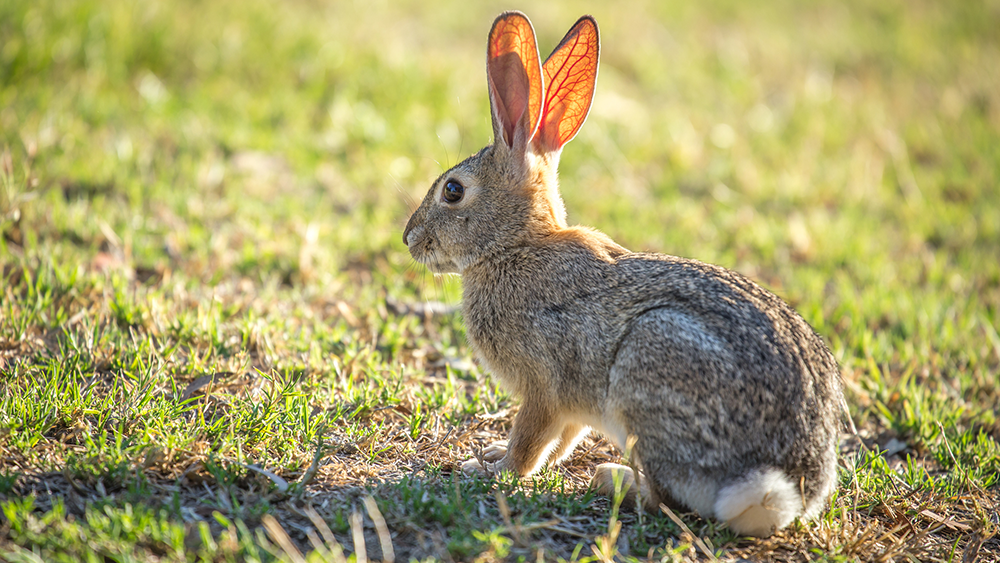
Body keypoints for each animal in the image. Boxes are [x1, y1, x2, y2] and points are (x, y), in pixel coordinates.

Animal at [402, 11, 844, 537]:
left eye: (453, 191)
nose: (409, 238)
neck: (514, 246)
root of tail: (786, 489)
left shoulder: (543, 385)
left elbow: (529, 441)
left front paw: (489, 469)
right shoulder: (573, 407)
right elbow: (563, 439)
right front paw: (492, 454)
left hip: (646, 370)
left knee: (670, 501)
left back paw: (613, 480)